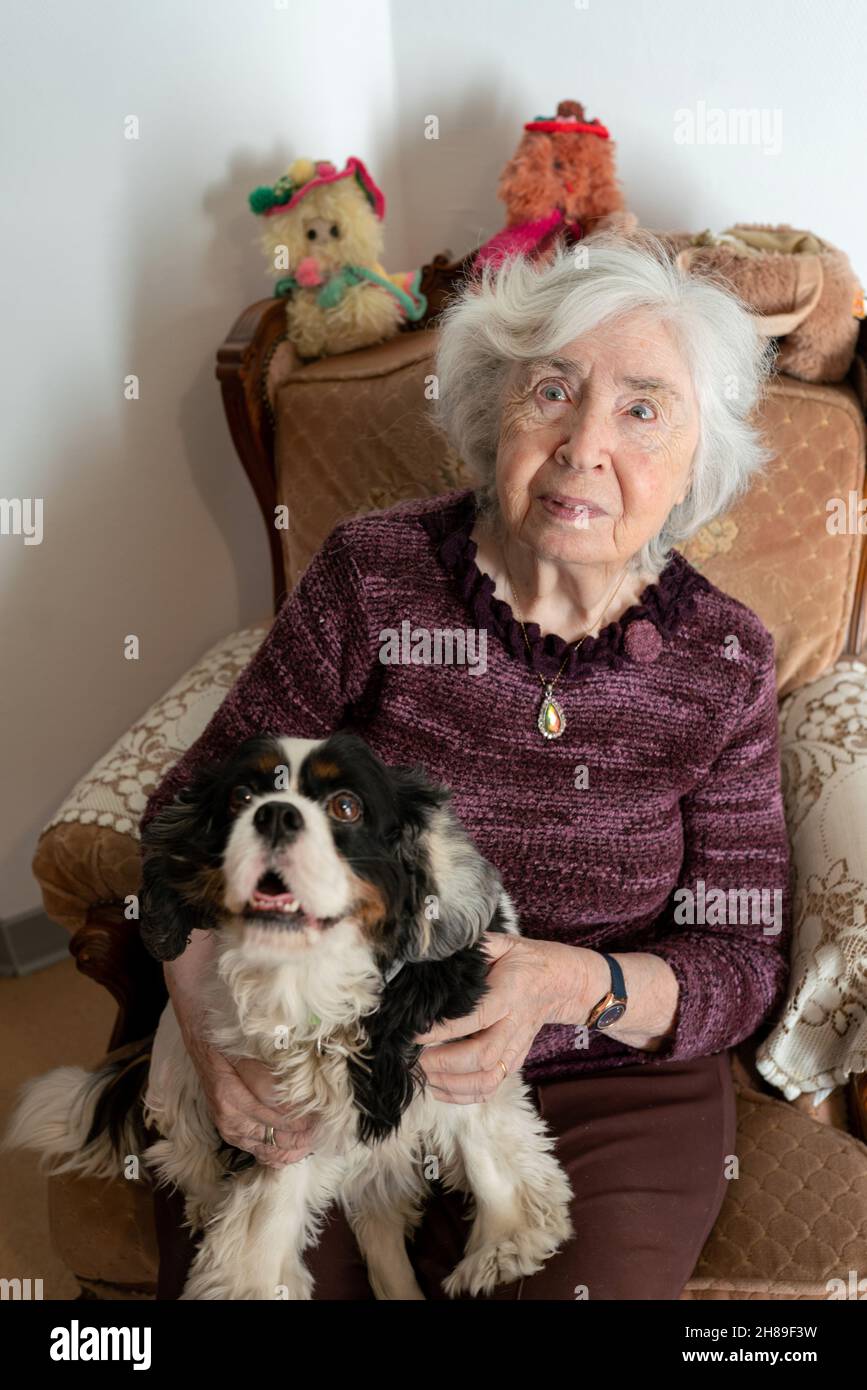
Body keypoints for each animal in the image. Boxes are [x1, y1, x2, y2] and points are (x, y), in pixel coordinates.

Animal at [10, 733, 575, 1295]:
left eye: (346, 806)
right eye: (240, 797)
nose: (276, 814)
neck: (308, 979)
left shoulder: (459, 1057)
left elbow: (481, 1143)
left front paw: (505, 1241)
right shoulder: (275, 1111)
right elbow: (271, 1201)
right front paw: (251, 1279)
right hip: (178, 1075)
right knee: (189, 1157)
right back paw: (205, 1202)